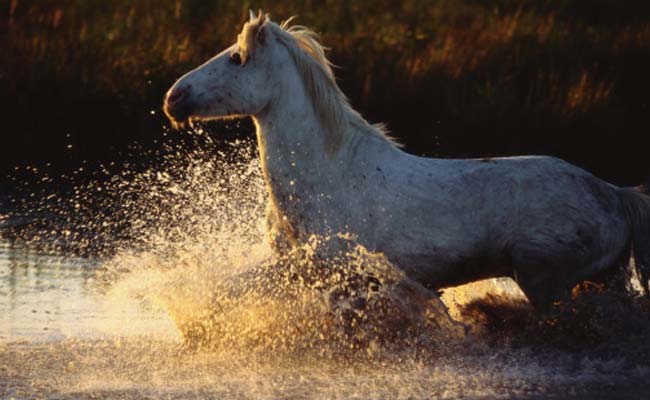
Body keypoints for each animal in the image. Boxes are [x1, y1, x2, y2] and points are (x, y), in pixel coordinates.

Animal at [165, 11, 648, 312]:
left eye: (237, 58)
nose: (174, 97)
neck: (330, 176)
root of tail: (615, 192)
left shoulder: (345, 279)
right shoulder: (299, 272)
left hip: (547, 283)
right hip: (599, 281)